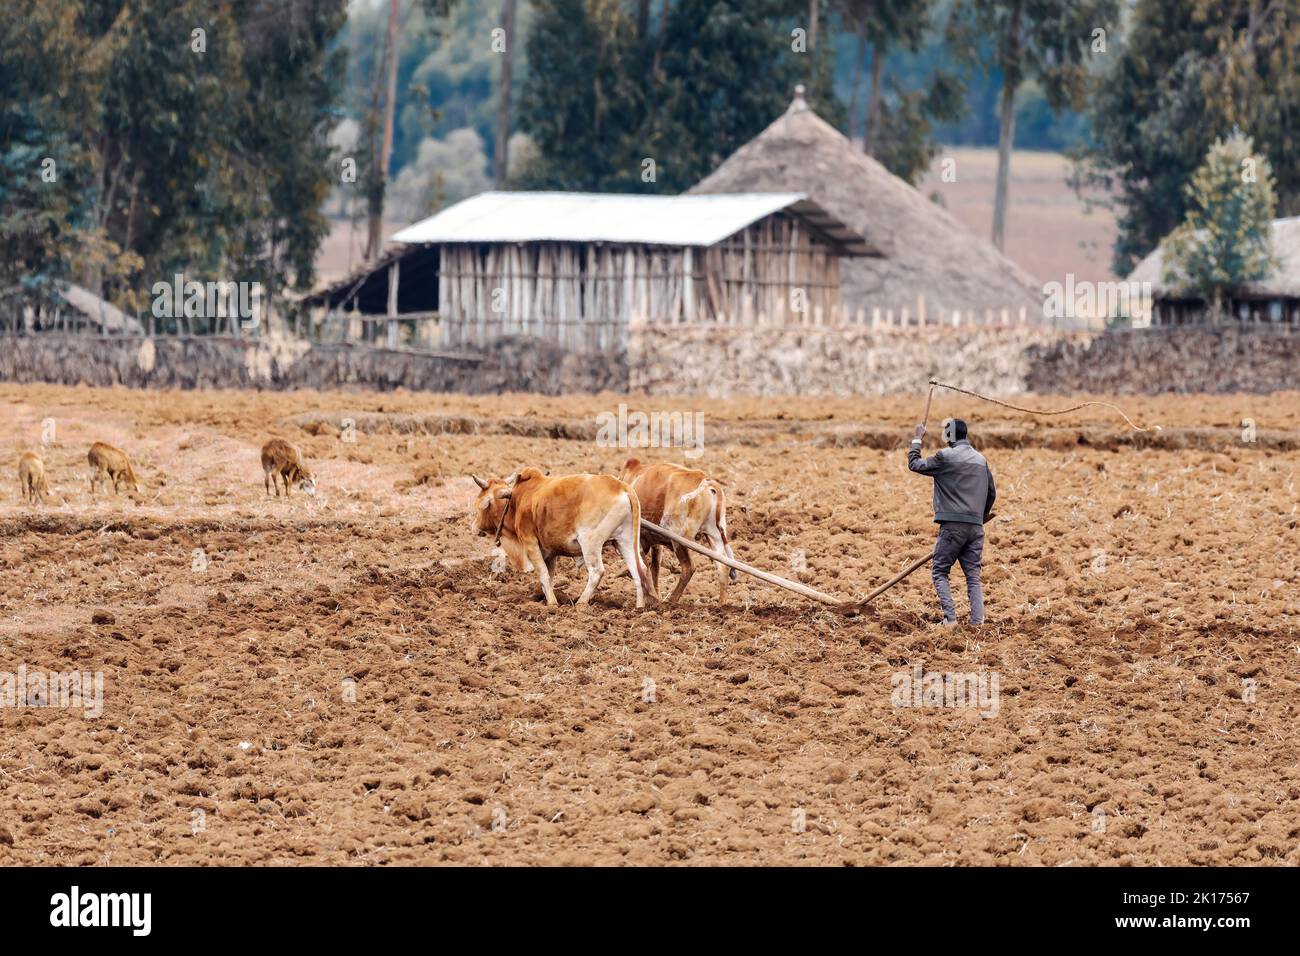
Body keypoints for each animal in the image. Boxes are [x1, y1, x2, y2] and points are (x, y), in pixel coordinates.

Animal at [470, 468, 660, 608]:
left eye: (482, 503)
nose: (473, 526)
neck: (515, 502)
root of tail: (622, 487)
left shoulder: (530, 542)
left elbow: (543, 574)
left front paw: (552, 604)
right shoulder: (549, 552)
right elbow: (549, 576)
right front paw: (544, 598)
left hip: (590, 542)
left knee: (597, 571)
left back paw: (581, 603)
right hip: (624, 541)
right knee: (638, 569)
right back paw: (639, 606)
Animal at [616, 457, 738, 606]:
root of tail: (707, 482)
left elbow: (644, 568)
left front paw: (652, 599)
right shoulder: (655, 543)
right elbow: (654, 568)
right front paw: (656, 597)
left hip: (679, 540)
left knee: (689, 568)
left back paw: (672, 600)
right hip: (714, 535)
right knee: (722, 567)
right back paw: (721, 605)